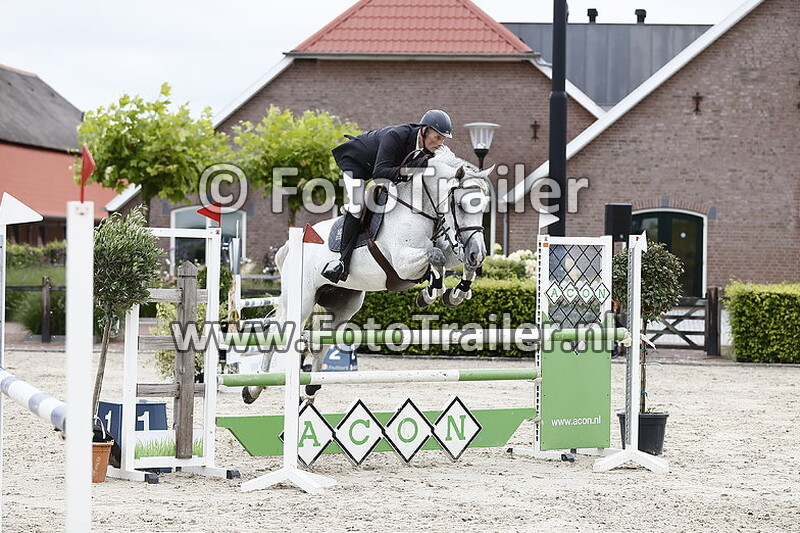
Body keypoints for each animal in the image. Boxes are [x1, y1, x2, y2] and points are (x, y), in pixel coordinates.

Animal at [241, 159, 493, 404]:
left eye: (483, 208)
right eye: (459, 205)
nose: (478, 253)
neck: (420, 210)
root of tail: (289, 247)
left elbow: (455, 261)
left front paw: (456, 293)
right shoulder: (402, 262)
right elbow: (436, 256)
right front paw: (431, 293)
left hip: (343, 305)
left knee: (322, 342)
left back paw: (310, 390)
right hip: (302, 300)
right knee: (277, 334)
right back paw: (253, 389)